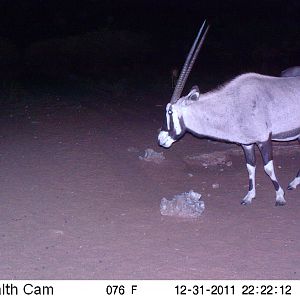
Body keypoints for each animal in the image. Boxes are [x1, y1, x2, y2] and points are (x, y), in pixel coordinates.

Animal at [158, 19, 298, 205]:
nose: (160, 139)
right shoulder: (247, 144)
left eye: (170, 112)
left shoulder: (264, 140)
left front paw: (280, 196)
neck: (234, 104)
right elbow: (250, 167)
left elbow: (268, 168)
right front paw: (249, 196)